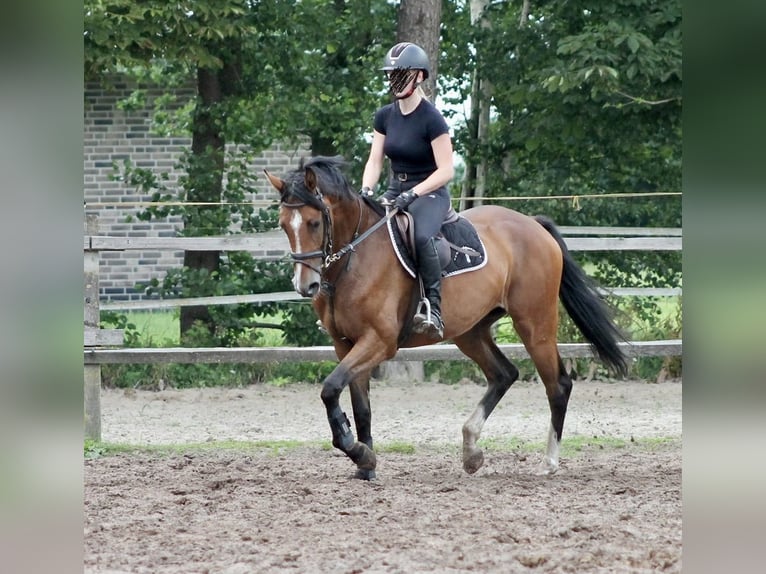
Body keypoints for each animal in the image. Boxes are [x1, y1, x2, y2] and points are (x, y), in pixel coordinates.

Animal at [265, 155, 628, 480]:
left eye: (314, 223)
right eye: (283, 225)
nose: (306, 286)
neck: (353, 259)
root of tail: (533, 224)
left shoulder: (379, 341)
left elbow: (329, 390)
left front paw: (359, 452)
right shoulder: (346, 345)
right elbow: (359, 406)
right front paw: (365, 464)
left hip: (534, 324)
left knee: (558, 385)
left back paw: (548, 463)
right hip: (471, 331)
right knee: (503, 374)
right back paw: (471, 452)